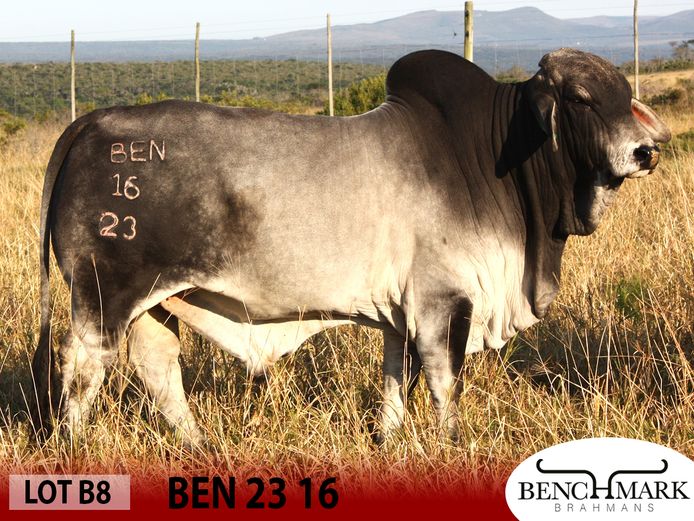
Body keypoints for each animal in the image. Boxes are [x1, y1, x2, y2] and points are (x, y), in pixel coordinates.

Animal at [30, 49, 670, 447]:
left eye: (625, 92)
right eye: (581, 97)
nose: (645, 152)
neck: (491, 155)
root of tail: (90, 123)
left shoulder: (400, 311)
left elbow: (394, 379)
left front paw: (389, 439)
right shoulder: (442, 303)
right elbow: (444, 384)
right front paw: (454, 445)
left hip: (159, 299)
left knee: (157, 366)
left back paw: (198, 445)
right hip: (103, 295)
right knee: (82, 369)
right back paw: (76, 448)